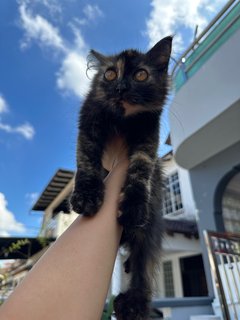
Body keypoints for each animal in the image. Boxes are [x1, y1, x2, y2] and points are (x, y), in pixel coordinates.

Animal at [70, 36, 172, 320]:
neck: (122, 120)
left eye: (140, 75)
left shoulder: (147, 139)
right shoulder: (89, 125)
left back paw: (133, 304)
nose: (120, 87)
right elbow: (87, 161)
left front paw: (133, 207)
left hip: (149, 232)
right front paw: (86, 196)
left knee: (142, 267)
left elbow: (140, 172)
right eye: (110, 74)